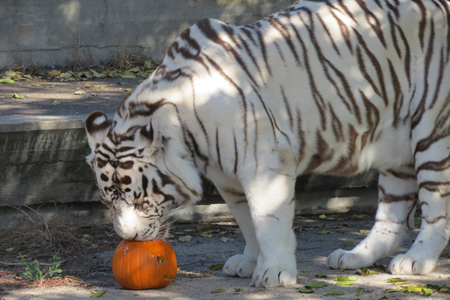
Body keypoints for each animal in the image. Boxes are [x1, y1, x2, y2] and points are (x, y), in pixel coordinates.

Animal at [86, 0, 450, 288]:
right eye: (107, 203)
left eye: (142, 202)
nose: (129, 238)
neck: (191, 135)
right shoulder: (227, 177)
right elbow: (246, 222)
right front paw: (250, 262)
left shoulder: (263, 166)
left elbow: (266, 221)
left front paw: (274, 273)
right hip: (397, 147)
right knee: (394, 215)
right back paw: (353, 256)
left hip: (433, 133)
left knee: (435, 211)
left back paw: (416, 260)